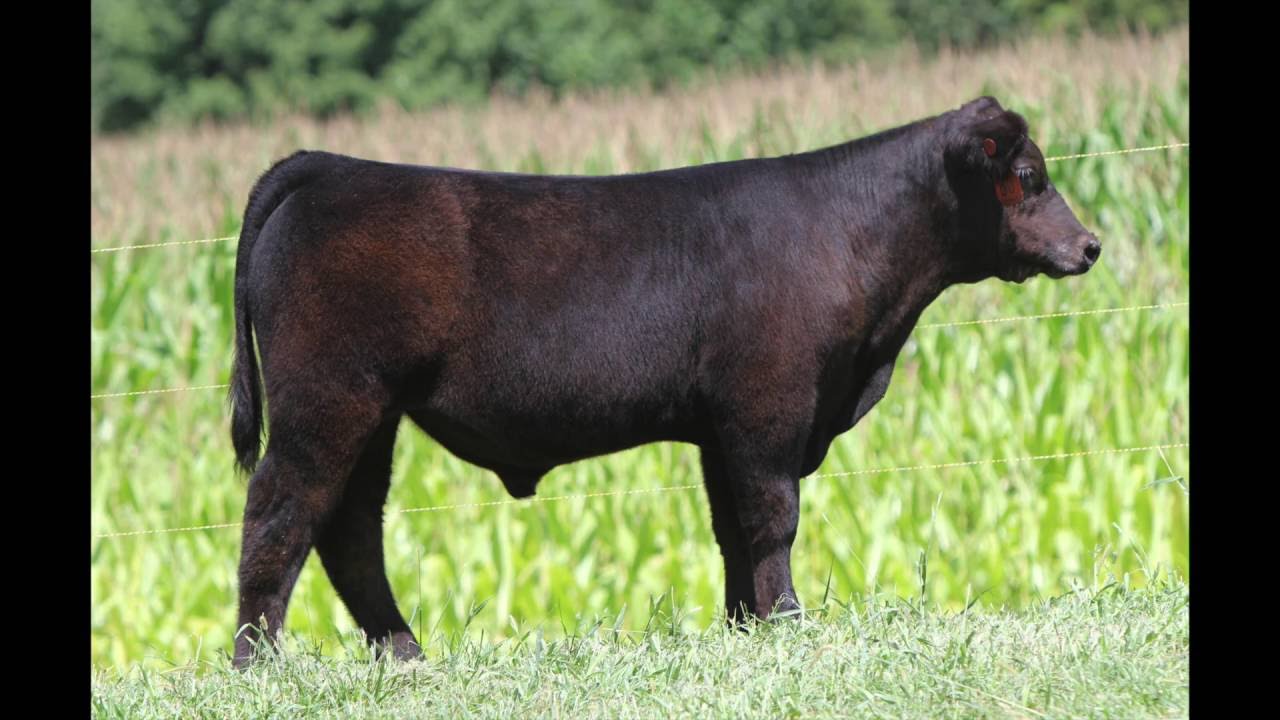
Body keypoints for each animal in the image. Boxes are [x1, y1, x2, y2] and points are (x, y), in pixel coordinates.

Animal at [228, 96, 1099, 666]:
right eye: (1029, 173)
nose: (1090, 245)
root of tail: (327, 168)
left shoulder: (720, 427)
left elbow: (730, 529)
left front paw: (744, 626)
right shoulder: (768, 409)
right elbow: (772, 520)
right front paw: (787, 623)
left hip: (372, 415)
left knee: (348, 529)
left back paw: (403, 653)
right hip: (327, 403)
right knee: (280, 511)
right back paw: (256, 661)